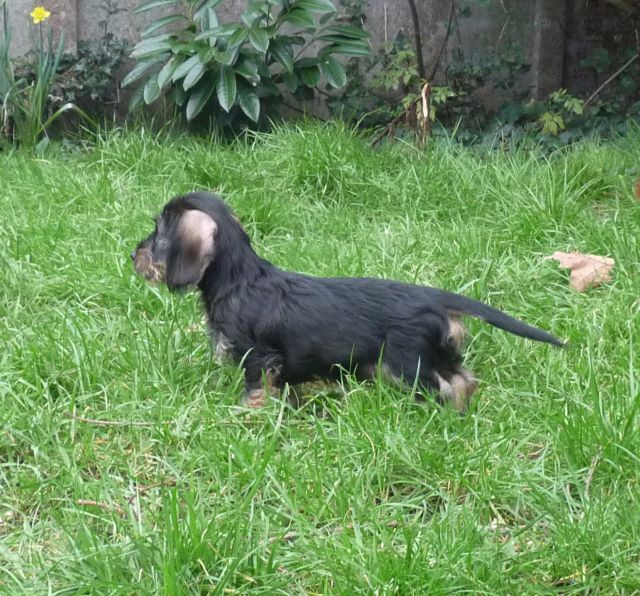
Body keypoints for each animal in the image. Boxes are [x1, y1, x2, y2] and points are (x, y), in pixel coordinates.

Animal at [132, 193, 564, 412]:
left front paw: (248, 416)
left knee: (442, 387)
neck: (240, 280)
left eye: (158, 234)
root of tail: (431, 295)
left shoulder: (258, 358)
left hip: (408, 364)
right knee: (463, 380)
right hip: (436, 355)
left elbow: (256, 390)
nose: (134, 255)